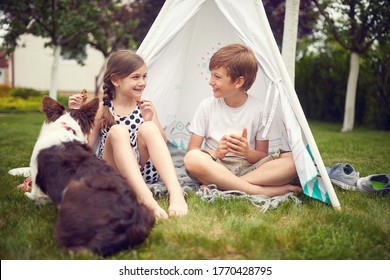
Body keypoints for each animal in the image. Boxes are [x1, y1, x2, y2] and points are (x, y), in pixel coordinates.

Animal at [25, 95, 155, 256]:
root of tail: (126, 225)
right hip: (147, 211)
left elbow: (34, 195)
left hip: (73, 191)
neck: (66, 128)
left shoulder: (36, 175)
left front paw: (29, 196)